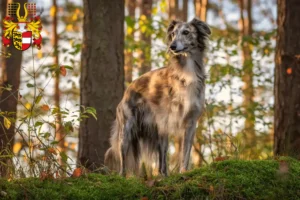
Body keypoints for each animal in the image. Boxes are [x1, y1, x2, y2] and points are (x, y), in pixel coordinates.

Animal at [105, 18, 211, 176]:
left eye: (186, 32)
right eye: (173, 34)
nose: (172, 46)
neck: (187, 72)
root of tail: (128, 90)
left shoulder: (191, 121)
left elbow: (185, 153)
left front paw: (183, 172)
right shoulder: (169, 119)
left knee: (162, 163)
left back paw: (164, 176)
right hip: (127, 129)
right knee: (123, 159)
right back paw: (122, 176)